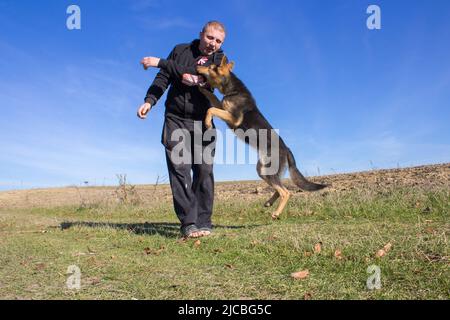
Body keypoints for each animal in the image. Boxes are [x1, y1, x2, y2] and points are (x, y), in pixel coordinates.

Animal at [198, 56, 326, 219]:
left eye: (210, 67)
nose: (196, 67)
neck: (233, 89)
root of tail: (287, 150)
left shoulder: (233, 118)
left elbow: (211, 109)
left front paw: (207, 122)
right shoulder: (223, 107)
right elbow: (212, 99)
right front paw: (200, 88)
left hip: (267, 170)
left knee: (286, 192)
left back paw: (276, 213)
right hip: (263, 169)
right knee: (279, 188)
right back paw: (269, 203)